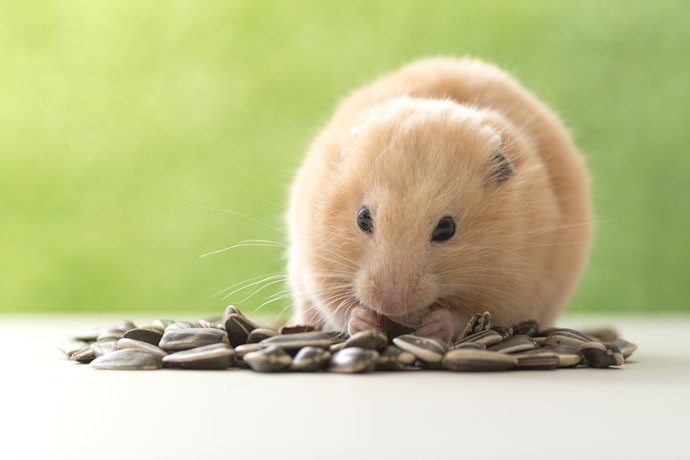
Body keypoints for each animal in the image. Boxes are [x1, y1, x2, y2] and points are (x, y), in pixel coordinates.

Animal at [286, 57, 592, 342]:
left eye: (446, 228)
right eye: (362, 218)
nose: (390, 303)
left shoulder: (515, 287)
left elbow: (468, 318)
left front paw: (432, 326)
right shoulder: (318, 265)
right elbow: (340, 309)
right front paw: (365, 320)